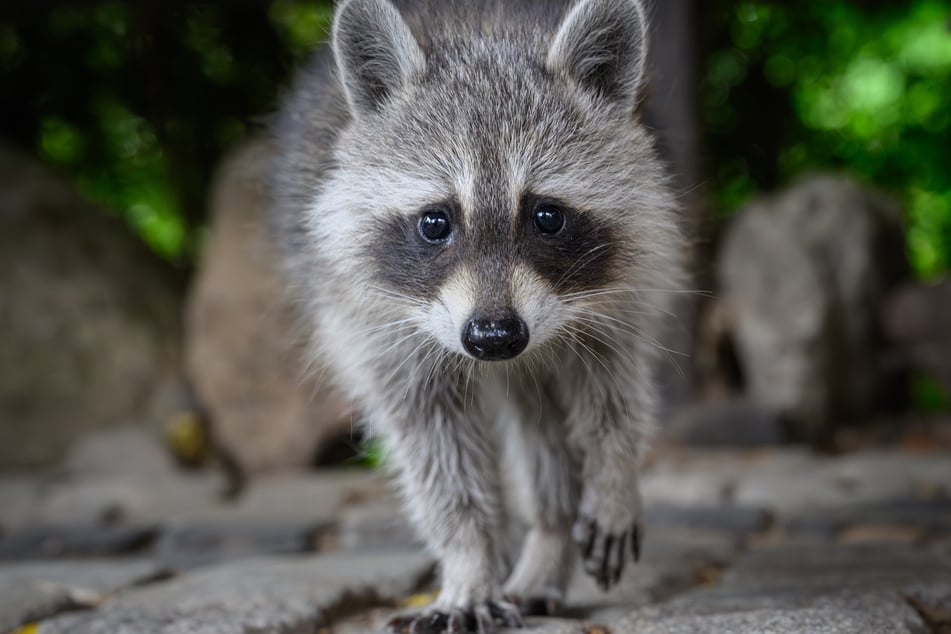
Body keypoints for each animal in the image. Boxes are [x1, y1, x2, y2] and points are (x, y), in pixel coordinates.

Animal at [274, 0, 684, 628]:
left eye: (547, 216)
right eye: (435, 222)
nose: (493, 337)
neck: (484, 42)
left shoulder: (625, 284)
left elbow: (612, 389)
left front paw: (613, 472)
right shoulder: (374, 324)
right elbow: (434, 449)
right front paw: (468, 561)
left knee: (544, 421)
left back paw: (550, 532)